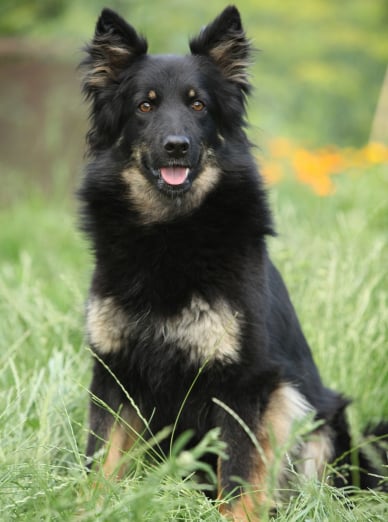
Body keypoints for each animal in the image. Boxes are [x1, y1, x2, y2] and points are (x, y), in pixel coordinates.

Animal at [78, 6, 384, 516]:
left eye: (199, 105)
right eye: (145, 106)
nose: (177, 146)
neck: (172, 232)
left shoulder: (245, 384)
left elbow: (239, 476)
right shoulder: (114, 375)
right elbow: (101, 463)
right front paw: (85, 509)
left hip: (307, 411)